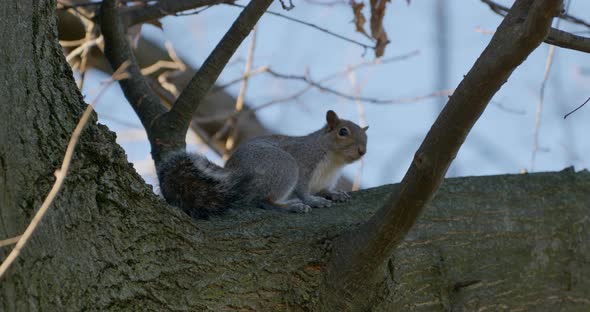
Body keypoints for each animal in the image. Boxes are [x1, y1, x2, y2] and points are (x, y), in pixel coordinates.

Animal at [157, 111, 370, 218]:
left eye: (366, 137)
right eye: (343, 132)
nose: (362, 151)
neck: (334, 161)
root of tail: (232, 174)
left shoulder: (327, 180)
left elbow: (325, 189)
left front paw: (335, 194)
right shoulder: (304, 161)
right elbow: (302, 189)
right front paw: (313, 201)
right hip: (284, 167)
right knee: (263, 201)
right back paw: (291, 206)